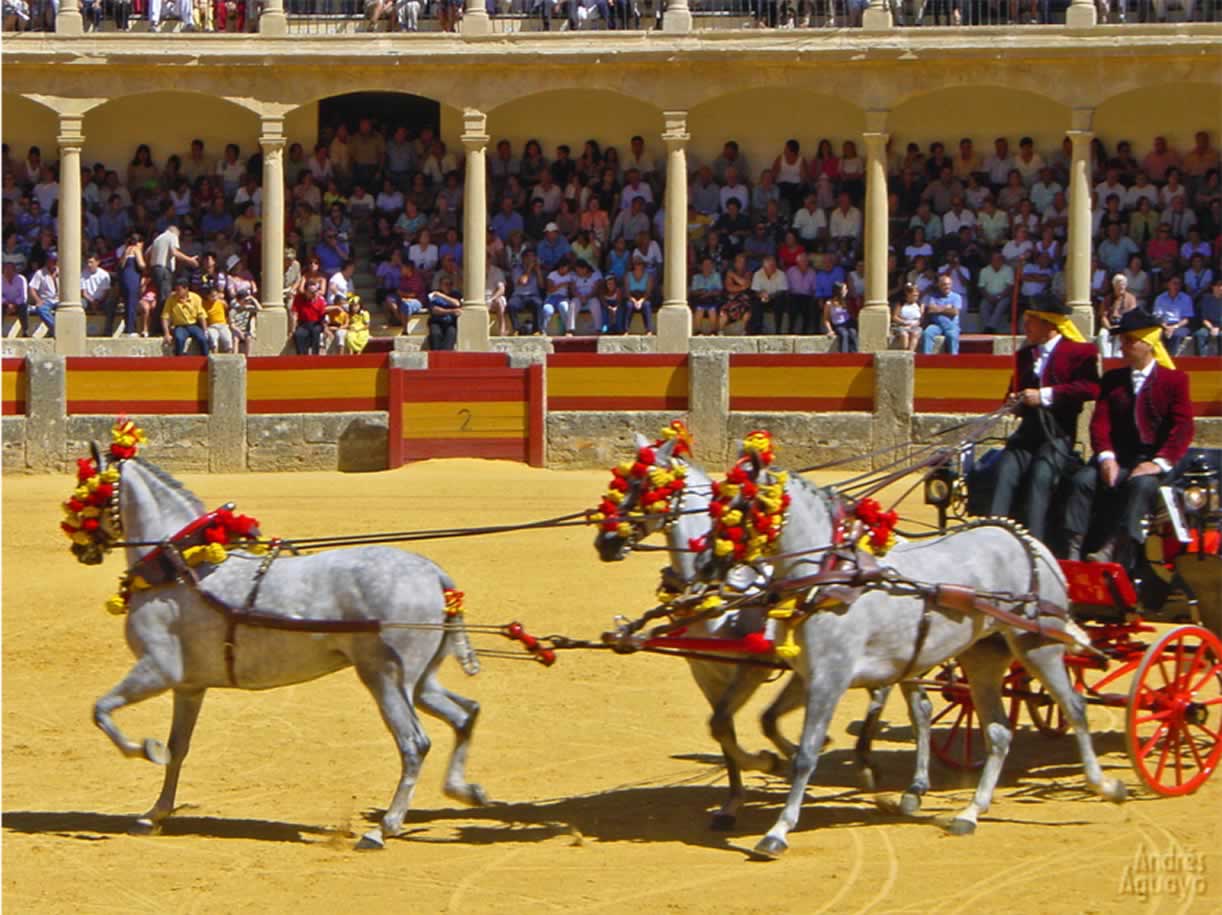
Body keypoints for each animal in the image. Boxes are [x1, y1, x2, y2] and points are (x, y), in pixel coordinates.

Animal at [75, 449, 486, 850]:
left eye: (86, 491)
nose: (82, 549)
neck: (182, 569)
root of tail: (433, 575)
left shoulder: (157, 670)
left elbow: (102, 711)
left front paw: (147, 749)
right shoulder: (189, 686)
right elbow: (178, 748)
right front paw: (154, 814)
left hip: (386, 679)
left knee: (414, 743)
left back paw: (383, 829)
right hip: (420, 682)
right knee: (465, 714)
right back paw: (465, 790)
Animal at [591, 432, 933, 825]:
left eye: (646, 486)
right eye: (621, 482)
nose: (605, 543)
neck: (720, 591)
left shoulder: (752, 668)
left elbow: (728, 723)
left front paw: (773, 761)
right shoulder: (706, 672)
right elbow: (723, 728)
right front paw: (734, 800)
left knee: (918, 708)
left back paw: (910, 785)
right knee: (889, 696)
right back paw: (869, 765)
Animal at [723, 449, 1124, 855]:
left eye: (740, 506)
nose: (716, 568)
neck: (831, 576)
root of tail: (1028, 540)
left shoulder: (830, 677)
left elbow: (807, 753)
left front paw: (778, 830)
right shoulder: (811, 674)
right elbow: (769, 721)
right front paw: (774, 764)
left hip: (1039, 647)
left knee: (1074, 707)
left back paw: (1105, 786)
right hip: (983, 658)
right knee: (998, 732)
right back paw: (970, 813)